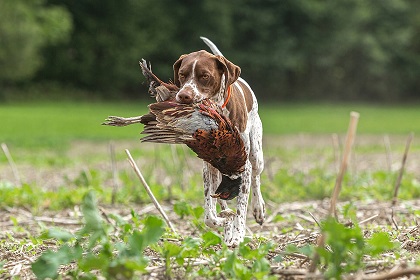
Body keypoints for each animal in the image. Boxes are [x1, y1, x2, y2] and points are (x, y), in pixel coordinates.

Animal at [172, 37, 264, 247]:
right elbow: (210, 214)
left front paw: (238, 234)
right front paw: (225, 222)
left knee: (256, 178)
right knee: (221, 199)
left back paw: (258, 209)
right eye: (182, 74)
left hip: (256, 155)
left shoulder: (244, 166)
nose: (183, 96)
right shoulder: (209, 168)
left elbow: (241, 207)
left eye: (204, 76)